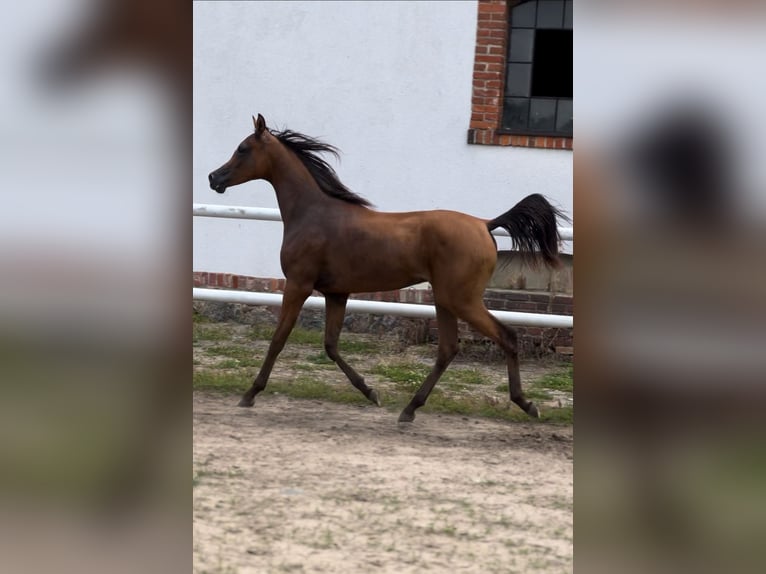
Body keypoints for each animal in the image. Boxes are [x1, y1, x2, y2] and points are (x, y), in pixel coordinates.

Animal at [207, 116, 568, 424]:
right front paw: (371, 392)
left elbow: (279, 339)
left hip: (461, 299)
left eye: (243, 148)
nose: (214, 178)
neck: (313, 213)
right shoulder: (337, 293)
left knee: (506, 336)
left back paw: (527, 404)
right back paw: (410, 409)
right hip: (445, 299)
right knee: (448, 349)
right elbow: (331, 345)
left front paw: (250, 394)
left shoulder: (298, 285)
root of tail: (484, 223)